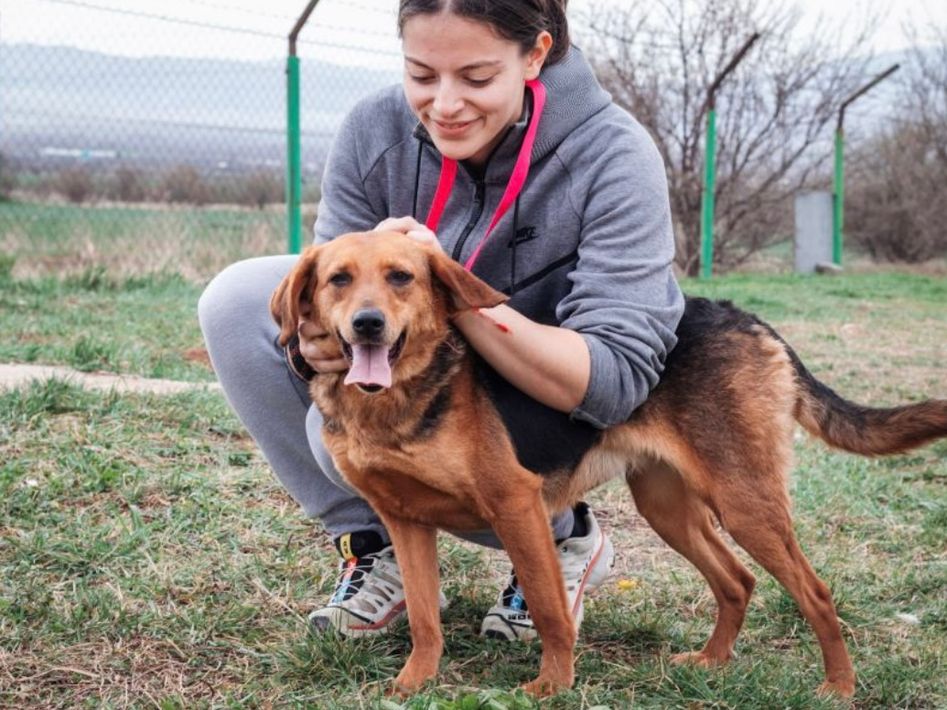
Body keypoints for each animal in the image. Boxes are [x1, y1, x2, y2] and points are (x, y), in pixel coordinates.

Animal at [270, 231, 947, 698]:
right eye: (338, 279)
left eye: (401, 276)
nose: (368, 325)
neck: (394, 402)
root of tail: (749, 319)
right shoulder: (406, 522)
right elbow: (422, 618)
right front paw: (416, 682)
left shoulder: (515, 505)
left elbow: (549, 609)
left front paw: (552, 686)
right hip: (668, 505)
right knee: (737, 580)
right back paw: (712, 661)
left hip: (745, 501)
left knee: (815, 590)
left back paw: (838, 685)